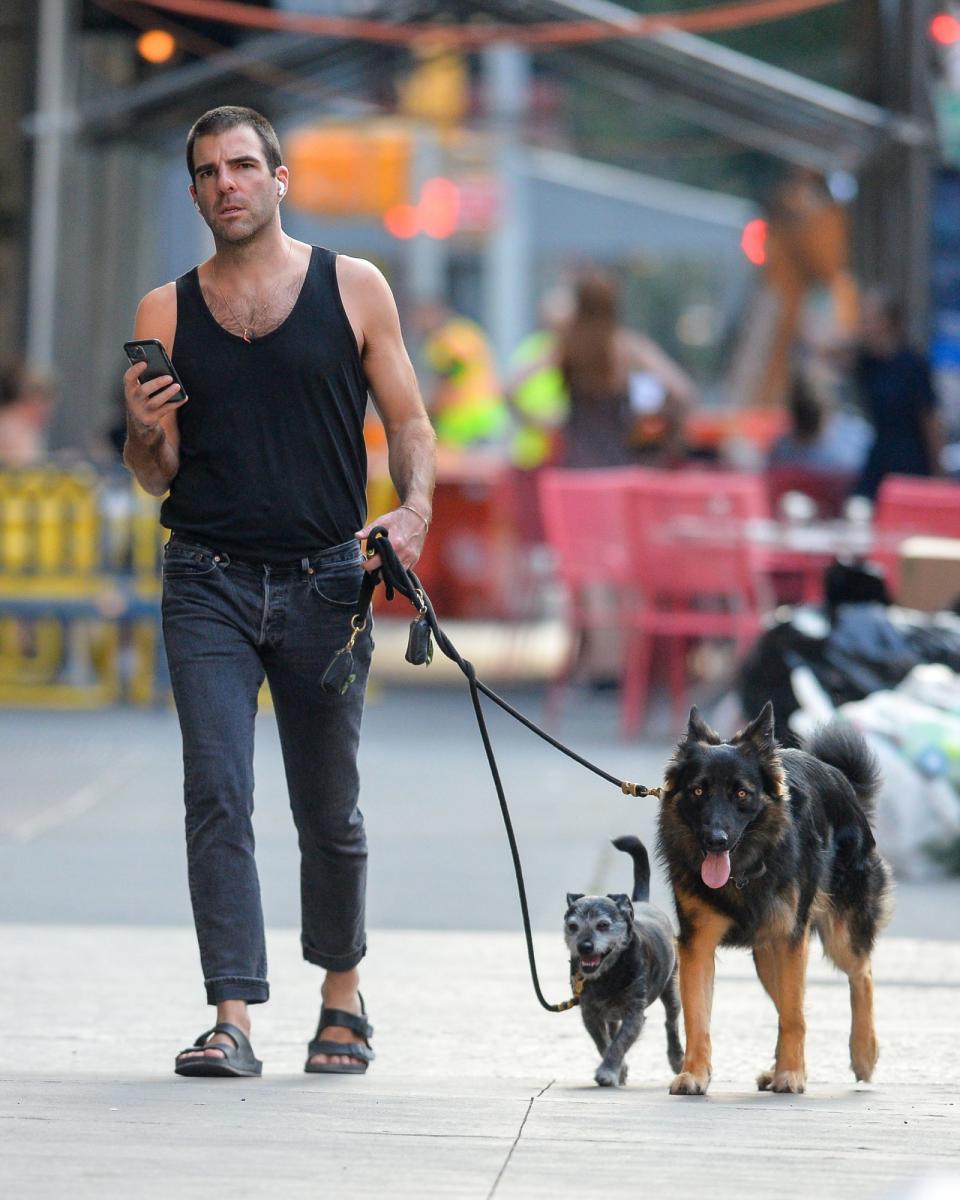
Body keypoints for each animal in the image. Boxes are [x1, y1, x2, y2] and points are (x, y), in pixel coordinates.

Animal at [566, 835, 686, 1089]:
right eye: (572, 926)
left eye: (603, 925)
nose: (584, 946)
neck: (609, 973)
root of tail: (641, 902)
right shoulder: (589, 1012)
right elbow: (604, 1042)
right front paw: (618, 1071)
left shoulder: (634, 1011)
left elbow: (619, 1043)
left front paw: (608, 1071)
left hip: (671, 990)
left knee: (671, 1024)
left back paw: (677, 1058)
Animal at [662, 700, 892, 1099]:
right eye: (698, 792)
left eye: (741, 794)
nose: (716, 841)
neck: (742, 872)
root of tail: (838, 775)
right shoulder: (697, 946)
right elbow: (697, 1017)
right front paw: (695, 1073)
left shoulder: (790, 941)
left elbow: (794, 1016)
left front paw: (791, 1074)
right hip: (767, 955)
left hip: (837, 935)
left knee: (861, 973)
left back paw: (864, 1052)